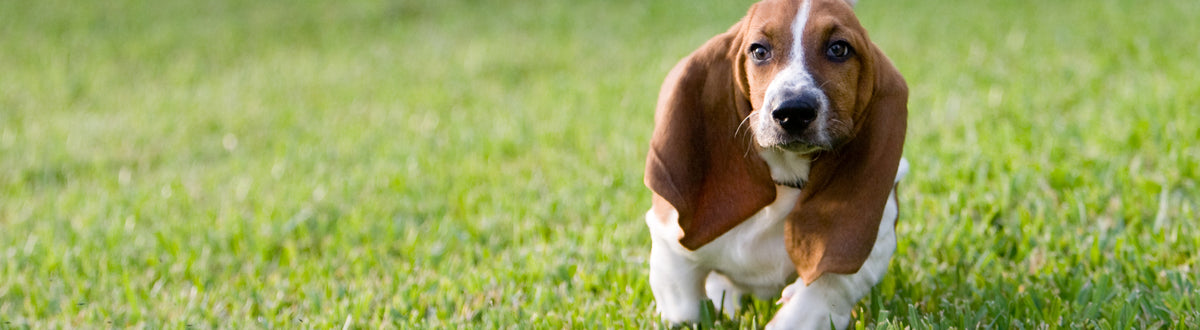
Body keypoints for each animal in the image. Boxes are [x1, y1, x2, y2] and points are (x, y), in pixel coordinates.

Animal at [643, 0, 902, 328]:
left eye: (839, 49)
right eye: (759, 51)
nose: (794, 111)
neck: (786, 179)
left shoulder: (858, 260)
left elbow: (814, 301)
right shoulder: (669, 239)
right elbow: (683, 307)